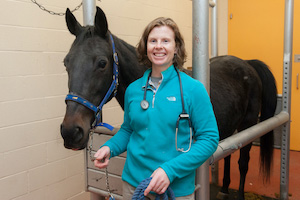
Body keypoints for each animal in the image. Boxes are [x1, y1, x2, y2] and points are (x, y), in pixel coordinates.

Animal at [59, 6, 278, 200]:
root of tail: (247, 64)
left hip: (248, 125)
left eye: (102, 63)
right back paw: (224, 189)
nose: (70, 131)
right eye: (66, 63)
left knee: (243, 161)